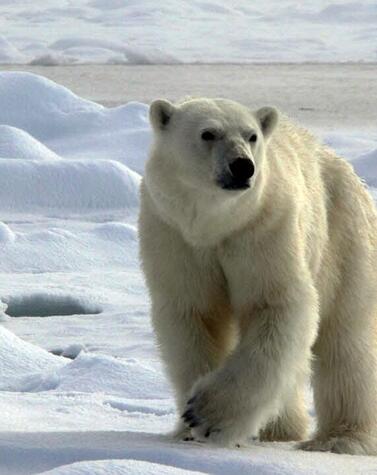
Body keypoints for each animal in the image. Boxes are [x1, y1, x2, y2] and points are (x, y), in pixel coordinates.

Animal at [139, 97, 376, 458]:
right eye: (208, 133)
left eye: (251, 136)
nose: (242, 166)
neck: (215, 226)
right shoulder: (174, 234)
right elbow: (195, 315)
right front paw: (187, 429)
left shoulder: (262, 227)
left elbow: (275, 305)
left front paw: (207, 415)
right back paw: (279, 430)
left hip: (342, 238)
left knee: (345, 340)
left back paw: (339, 439)